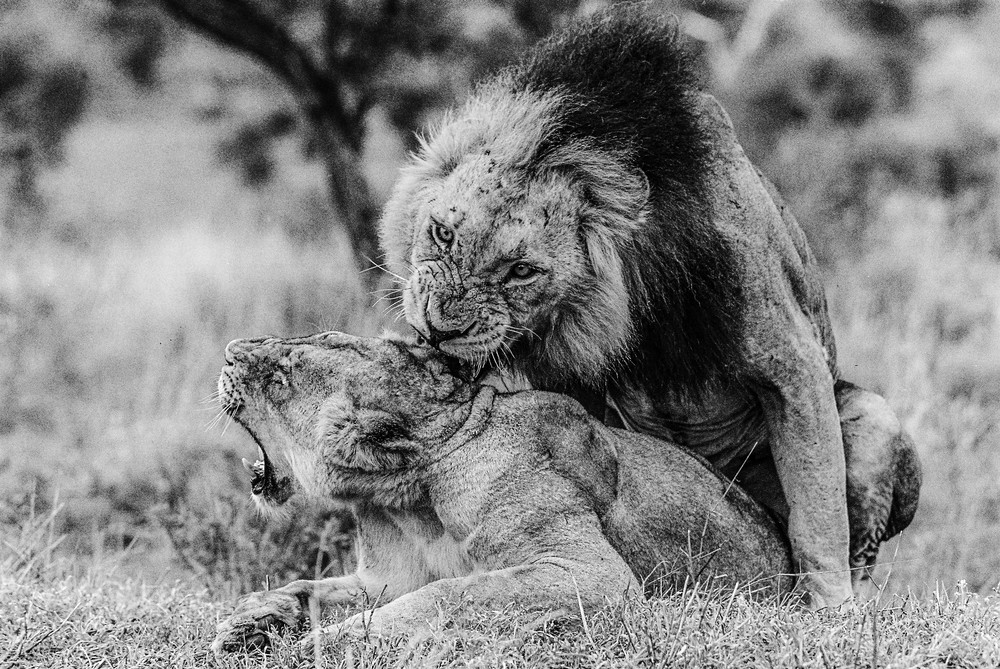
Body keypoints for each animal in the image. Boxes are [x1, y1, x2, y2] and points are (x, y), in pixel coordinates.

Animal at [211, 332, 917, 654]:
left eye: (282, 372)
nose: (228, 350)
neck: (410, 499)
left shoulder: (591, 573)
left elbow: (453, 594)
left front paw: (330, 645)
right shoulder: (382, 575)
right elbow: (308, 587)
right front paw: (249, 622)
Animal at [378, 4, 921, 607]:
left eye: (522, 271)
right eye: (442, 232)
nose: (438, 328)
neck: (638, 285)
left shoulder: (789, 360)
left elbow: (818, 516)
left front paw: (832, 611)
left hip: (873, 420)